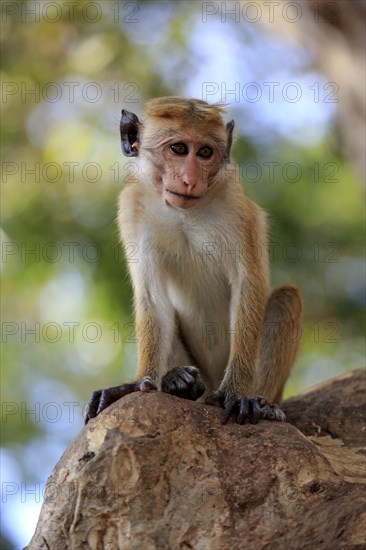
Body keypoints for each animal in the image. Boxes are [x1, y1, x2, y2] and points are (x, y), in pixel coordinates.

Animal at [84, 98, 302, 426]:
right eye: (178, 149)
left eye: (204, 152)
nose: (190, 180)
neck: (182, 212)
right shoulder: (131, 208)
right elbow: (152, 298)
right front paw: (138, 382)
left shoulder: (236, 206)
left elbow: (248, 286)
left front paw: (238, 393)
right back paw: (179, 383)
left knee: (286, 297)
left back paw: (265, 405)